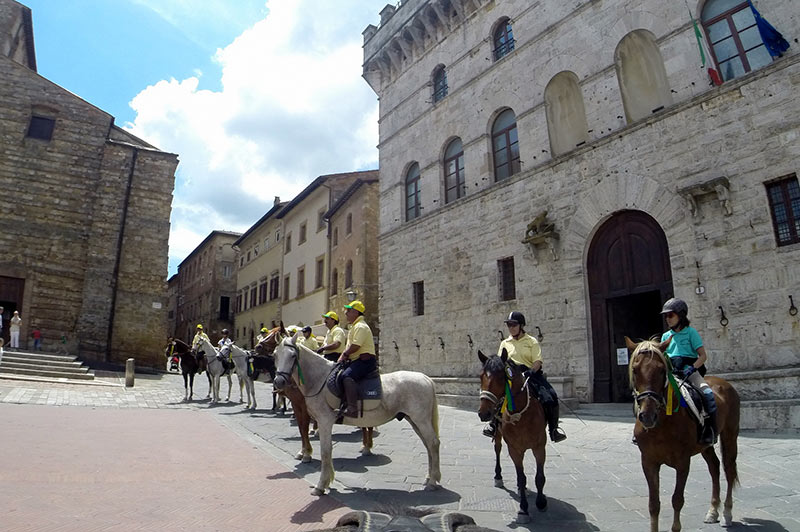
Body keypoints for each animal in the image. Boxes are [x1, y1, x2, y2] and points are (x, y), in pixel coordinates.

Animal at [272, 336, 440, 494]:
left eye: (293, 355)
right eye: (275, 355)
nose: (279, 381)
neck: (319, 380)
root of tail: (426, 378)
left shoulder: (324, 421)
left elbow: (325, 451)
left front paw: (321, 486)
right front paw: (327, 482)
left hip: (421, 420)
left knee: (433, 443)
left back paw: (432, 481)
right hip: (414, 420)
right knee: (427, 445)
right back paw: (429, 478)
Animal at [478, 350, 548, 524]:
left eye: (501, 377)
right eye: (480, 376)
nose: (483, 413)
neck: (521, 413)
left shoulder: (540, 446)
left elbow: (539, 477)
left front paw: (541, 502)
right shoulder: (514, 449)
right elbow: (522, 478)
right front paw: (523, 510)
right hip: (498, 435)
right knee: (497, 450)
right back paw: (498, 477)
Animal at [628, 338, 740, 528]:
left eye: (662, 370)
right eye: (635, 370)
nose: (647, 416)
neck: (662, 424)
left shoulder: (683, 462)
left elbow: (677, 500)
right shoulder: (648, 462)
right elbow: (653, 504)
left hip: (730, 436)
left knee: (729, 469)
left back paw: (727, 513)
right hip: (705, 445)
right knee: (714, 467)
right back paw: (712, 511)